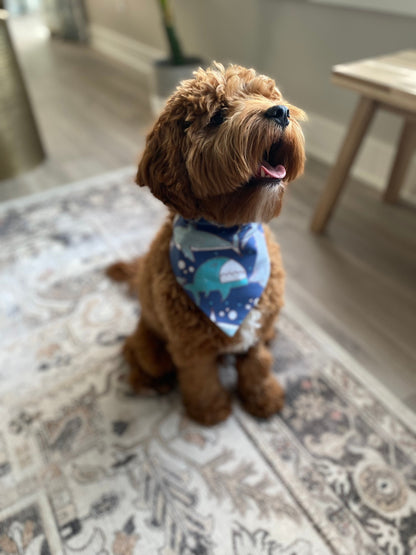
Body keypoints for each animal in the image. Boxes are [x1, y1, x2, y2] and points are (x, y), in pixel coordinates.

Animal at [108, 63, 306, 426]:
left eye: (266, 96)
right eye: (217, 116)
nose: (281, 112)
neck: (230, 237)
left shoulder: (256, 330)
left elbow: (257, 365)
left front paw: (262, 397)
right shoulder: (190, 346)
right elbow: (200, 378)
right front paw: (211, 411)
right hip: (151, 345)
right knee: (133, 355)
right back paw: (151, 383)